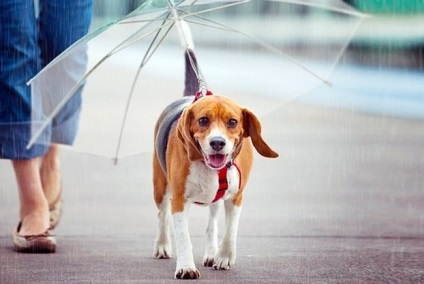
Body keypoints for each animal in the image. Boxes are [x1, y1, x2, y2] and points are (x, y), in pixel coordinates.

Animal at [152, 47, 278, 280]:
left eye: (233, 122)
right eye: (203, 120)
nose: (217, 142)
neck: (209, 166)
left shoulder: (236, 197)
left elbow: (230, 230)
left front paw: (224, 257)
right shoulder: (179, 199)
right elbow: (183, 236)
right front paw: (186, 267)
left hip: (216, 200)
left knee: (212, 224)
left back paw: (212, 253)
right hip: (161, 187)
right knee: (162, 216)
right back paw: (162, 245)